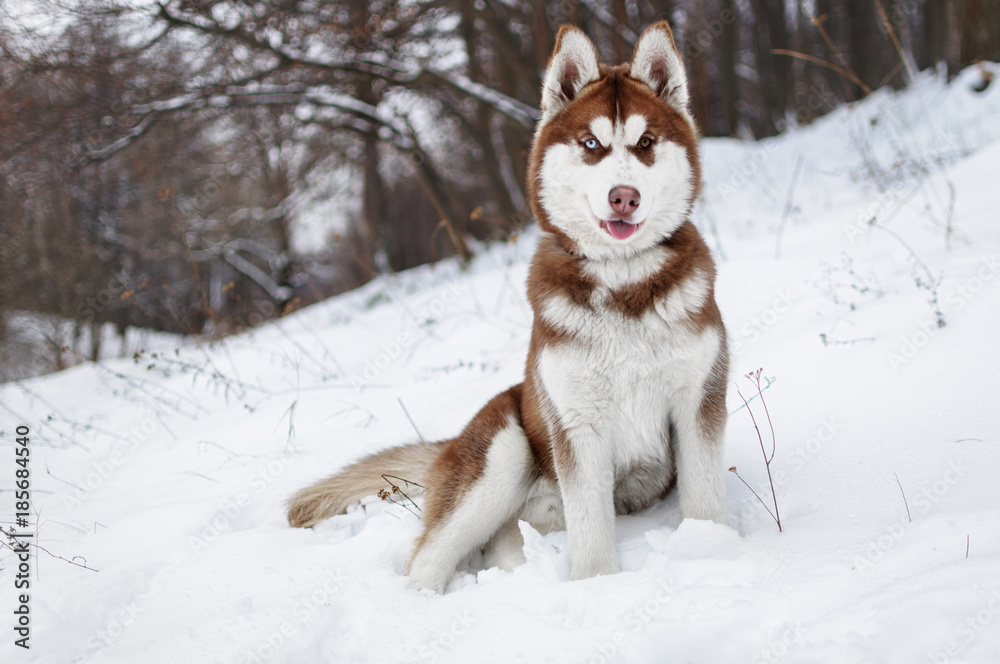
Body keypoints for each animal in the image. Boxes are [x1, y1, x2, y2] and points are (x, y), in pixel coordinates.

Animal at [288, 22, 728, 592]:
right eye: (591, 144)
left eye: (646, 143)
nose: (624, 196)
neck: (622, 283)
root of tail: (451, 441)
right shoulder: (576, 427)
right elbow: (592, 537)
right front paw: (598, 589)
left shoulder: (698, 401)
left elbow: (703, 503)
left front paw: (707, 553)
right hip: (504, 453)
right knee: (425, 561)